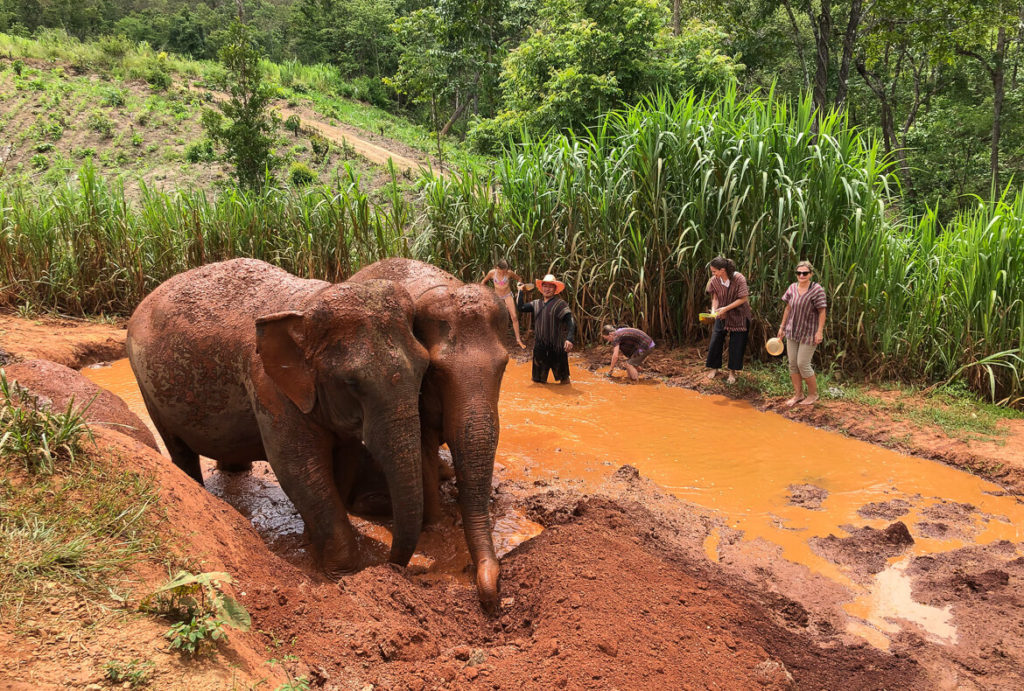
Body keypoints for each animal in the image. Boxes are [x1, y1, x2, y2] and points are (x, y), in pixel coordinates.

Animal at [125, 256, 430, 577]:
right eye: (352, 382)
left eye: (425, 368)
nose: (392, 567)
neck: (308, 307)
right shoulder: (268, 387)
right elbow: (296, 468)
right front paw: (342, 571)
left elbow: (343, 460)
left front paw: (314, 544)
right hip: (146, 387)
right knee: (179, 449)